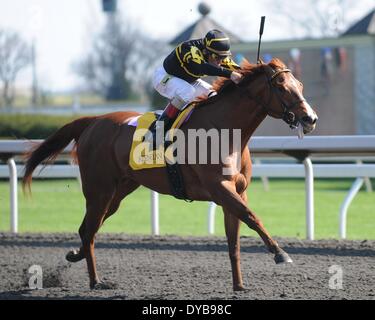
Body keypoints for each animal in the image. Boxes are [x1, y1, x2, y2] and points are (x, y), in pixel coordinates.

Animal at [22, 58, 318, 292]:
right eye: (281, 87)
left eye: (301, 85)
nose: (310, 119)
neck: (226, 130)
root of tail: (92, 121)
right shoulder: (220, 188)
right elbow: (252, 217)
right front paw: (280, 253)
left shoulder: (236, 191)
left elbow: (234, 240)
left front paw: (239, 285)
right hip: (99, 190)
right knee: (91, 230)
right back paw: (96, 281)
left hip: (118, 191)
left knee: (87, 229)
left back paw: (76, 256)